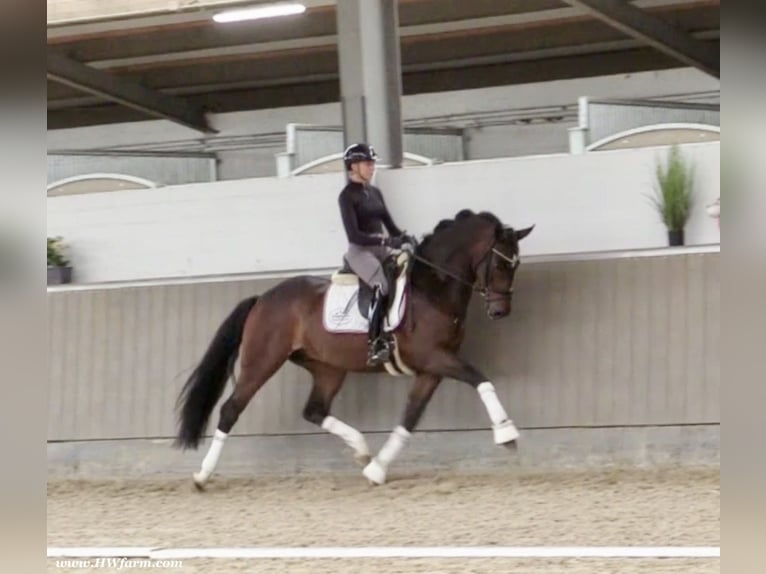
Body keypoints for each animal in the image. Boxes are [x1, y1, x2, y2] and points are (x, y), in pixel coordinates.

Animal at [174, 209, 536, 488]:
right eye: (502, 265)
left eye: (517, 265)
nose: (501, 311)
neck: (431, 289)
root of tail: (263, 298)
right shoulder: (435, 358)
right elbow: (480, 378)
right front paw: (506, 433)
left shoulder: (431, 369)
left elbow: (410, 416)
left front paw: (377, 469)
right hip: (262, 361)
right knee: (231, 409)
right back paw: (202, 476)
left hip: (328, 367)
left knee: (314, 410)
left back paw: (362, 449)